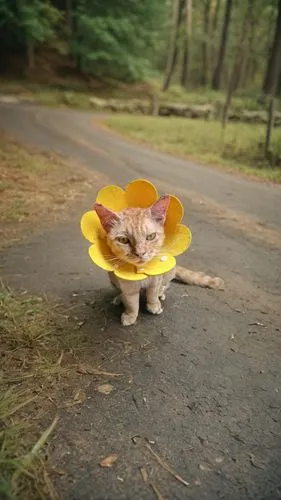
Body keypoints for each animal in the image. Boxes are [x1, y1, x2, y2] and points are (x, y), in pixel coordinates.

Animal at [94, 193, 223, 326]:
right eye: (123, 240)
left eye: (151, 236)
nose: (140, 253)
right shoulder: (128, 285)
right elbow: (132, 303)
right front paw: (130, 315)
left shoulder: (156, 279)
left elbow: (152, 293)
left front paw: (154, 306)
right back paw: (119, 298)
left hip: (169, 272)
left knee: (165, 285)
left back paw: (161, 294)